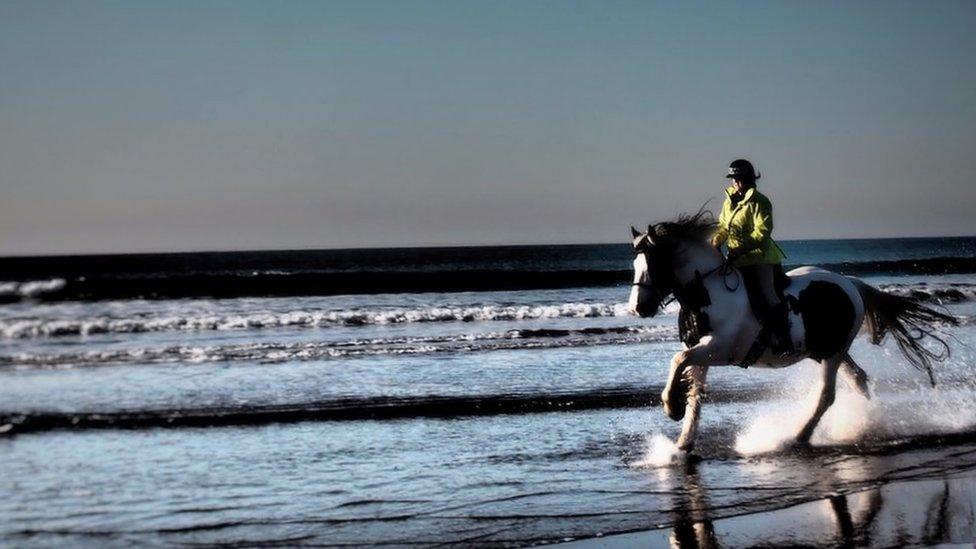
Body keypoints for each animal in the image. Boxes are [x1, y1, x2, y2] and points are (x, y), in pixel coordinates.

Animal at [628, 208, 956, 452]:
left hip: (833, 353)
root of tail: (850, 284)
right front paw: (682, 442)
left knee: (827, 395)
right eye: (634, 263)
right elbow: (694, 390)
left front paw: (671, 407)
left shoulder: (718, 349)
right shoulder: (700, 351)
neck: (707, 291)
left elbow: (677, 361)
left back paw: (798, 437)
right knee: (858, 379)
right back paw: (869, 423)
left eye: (653, 264)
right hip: (827, 351)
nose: (638, 307)